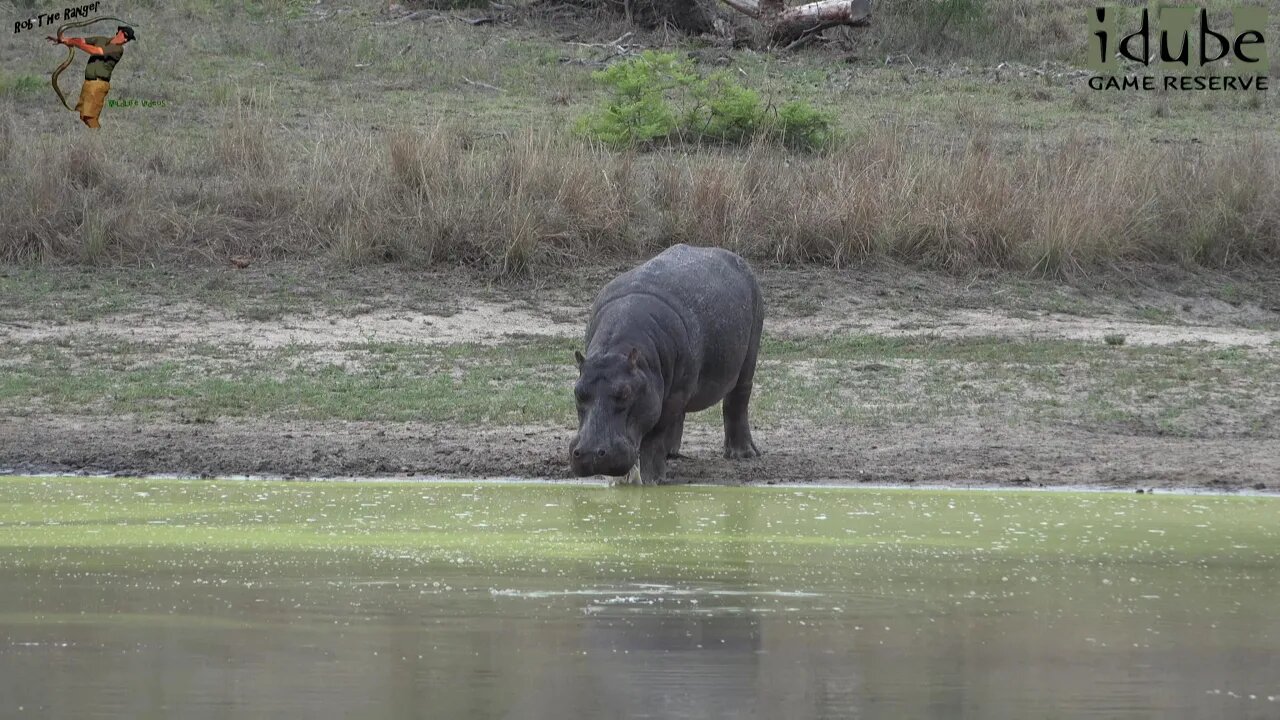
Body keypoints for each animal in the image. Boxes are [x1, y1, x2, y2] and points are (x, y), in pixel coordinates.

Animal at [568, 243, 757, 484]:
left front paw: (653, 480)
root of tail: (735, 257)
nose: (590, 453)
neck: (614, 351)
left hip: (747, 355)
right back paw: (672, 453)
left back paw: (742, 454)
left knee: (738, 400)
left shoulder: (666, 401)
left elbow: (654, 437)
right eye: (577, 391)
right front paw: (623, 482)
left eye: (625, 393)